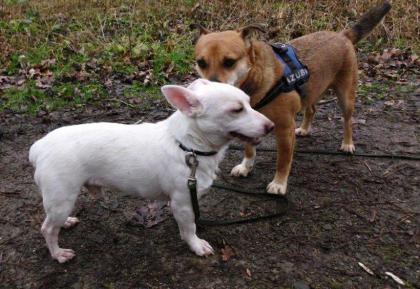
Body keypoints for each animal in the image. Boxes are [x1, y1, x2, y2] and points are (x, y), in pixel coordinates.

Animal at [28, 78, 272, 260]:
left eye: (249, 103)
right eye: (237, 110)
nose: (271, 126)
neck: (188, 145)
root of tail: (39, 148)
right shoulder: (182, 203)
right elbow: (189, 228)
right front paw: (196, 245)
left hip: (61, 202)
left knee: (52, 221)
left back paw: (67, 223)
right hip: (63, 197)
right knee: (47, 229)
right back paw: (58, 253)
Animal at [195, 1, 392, 194]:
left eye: (229, 62)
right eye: (200, 62)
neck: (255, 78)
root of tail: (343, 35)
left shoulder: (284, 129)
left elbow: (283, 161)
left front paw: (279, 183)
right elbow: (249, 150)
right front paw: (246, 167)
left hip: (346, 97)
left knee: (348, 121)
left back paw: (348, 143)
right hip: (311, 92)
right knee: (311, 109)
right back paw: (304, 129)